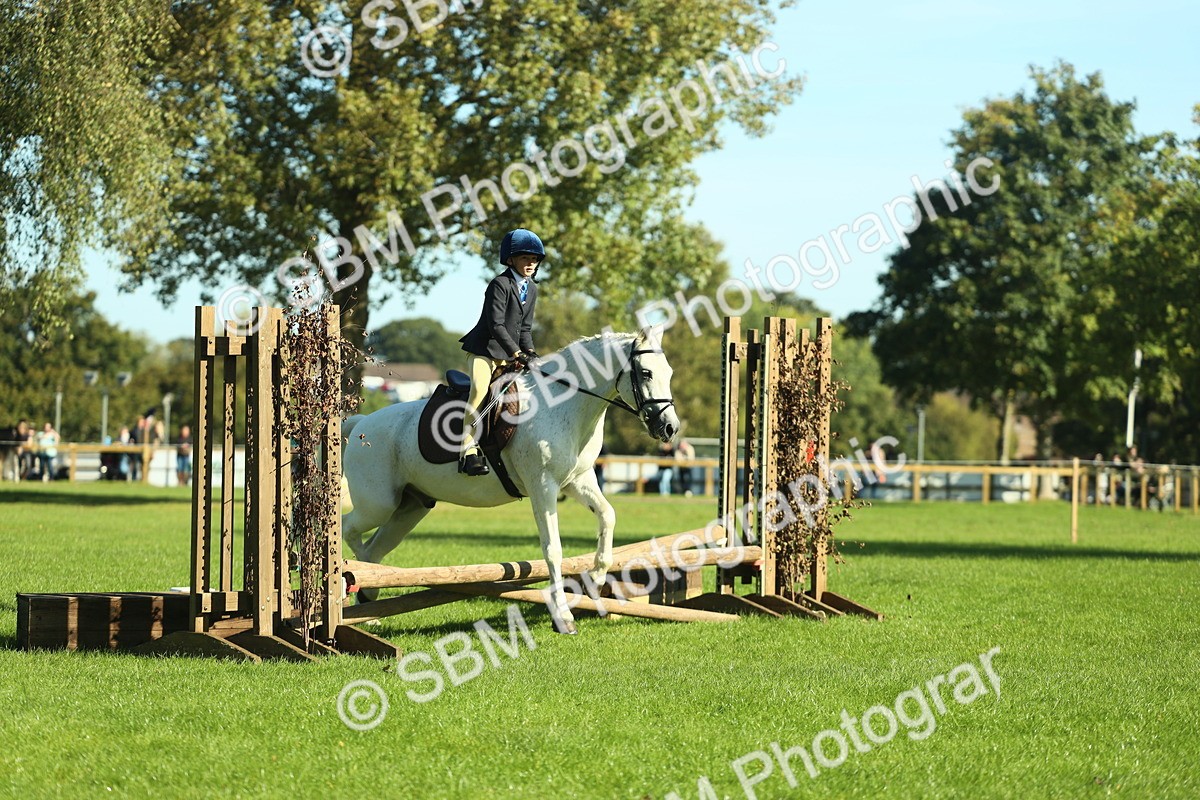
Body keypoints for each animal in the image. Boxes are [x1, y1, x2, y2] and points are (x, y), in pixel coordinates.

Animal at [340, 325, 680, 634]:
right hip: (379, 504)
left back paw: (368, 605)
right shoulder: (543, 485)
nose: (670, 428)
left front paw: (597, 577)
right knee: (349, 529)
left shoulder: (578, 481)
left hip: (410, 508)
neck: (566, 404)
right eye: (646, 373)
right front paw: (563, 617)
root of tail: (361, 425)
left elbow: (608, 515)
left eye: (669, 372)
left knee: (376, 549)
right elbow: (553, 549)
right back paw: (354, 579)